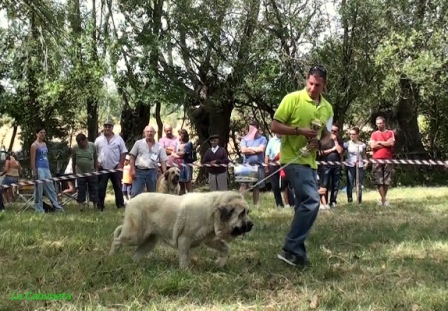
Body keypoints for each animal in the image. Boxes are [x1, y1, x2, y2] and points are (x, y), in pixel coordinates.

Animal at [108, 191, 252, 270]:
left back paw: (134, 265)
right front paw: (185, 272)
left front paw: (220, 263)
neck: (213, 210)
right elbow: (184, 257)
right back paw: (112, 256)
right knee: (116, 240)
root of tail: (131, 200)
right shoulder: (184, 240)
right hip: (135, 235)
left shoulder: (209, 240)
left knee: (136, 254)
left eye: (247, 212)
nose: (251, 225)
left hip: (149, 241)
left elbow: (226, 248)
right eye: (241, 214)